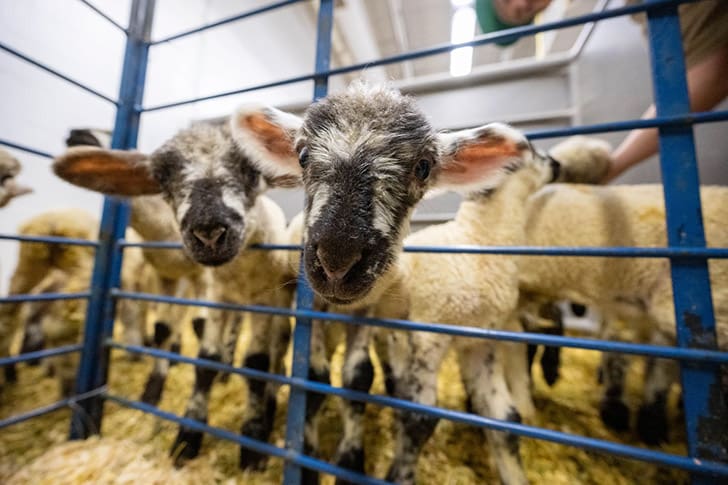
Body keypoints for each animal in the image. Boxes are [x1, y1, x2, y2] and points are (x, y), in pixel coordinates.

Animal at [53, 120, 297, 471]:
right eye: (162, 177)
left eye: (251, 170)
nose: (209, 232)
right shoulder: (201, 288)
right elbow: (198, 355)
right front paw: (185, 433)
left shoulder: (260, 296)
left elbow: (257, 365)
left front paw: (252, 442)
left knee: (279, 348)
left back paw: (271, 403)